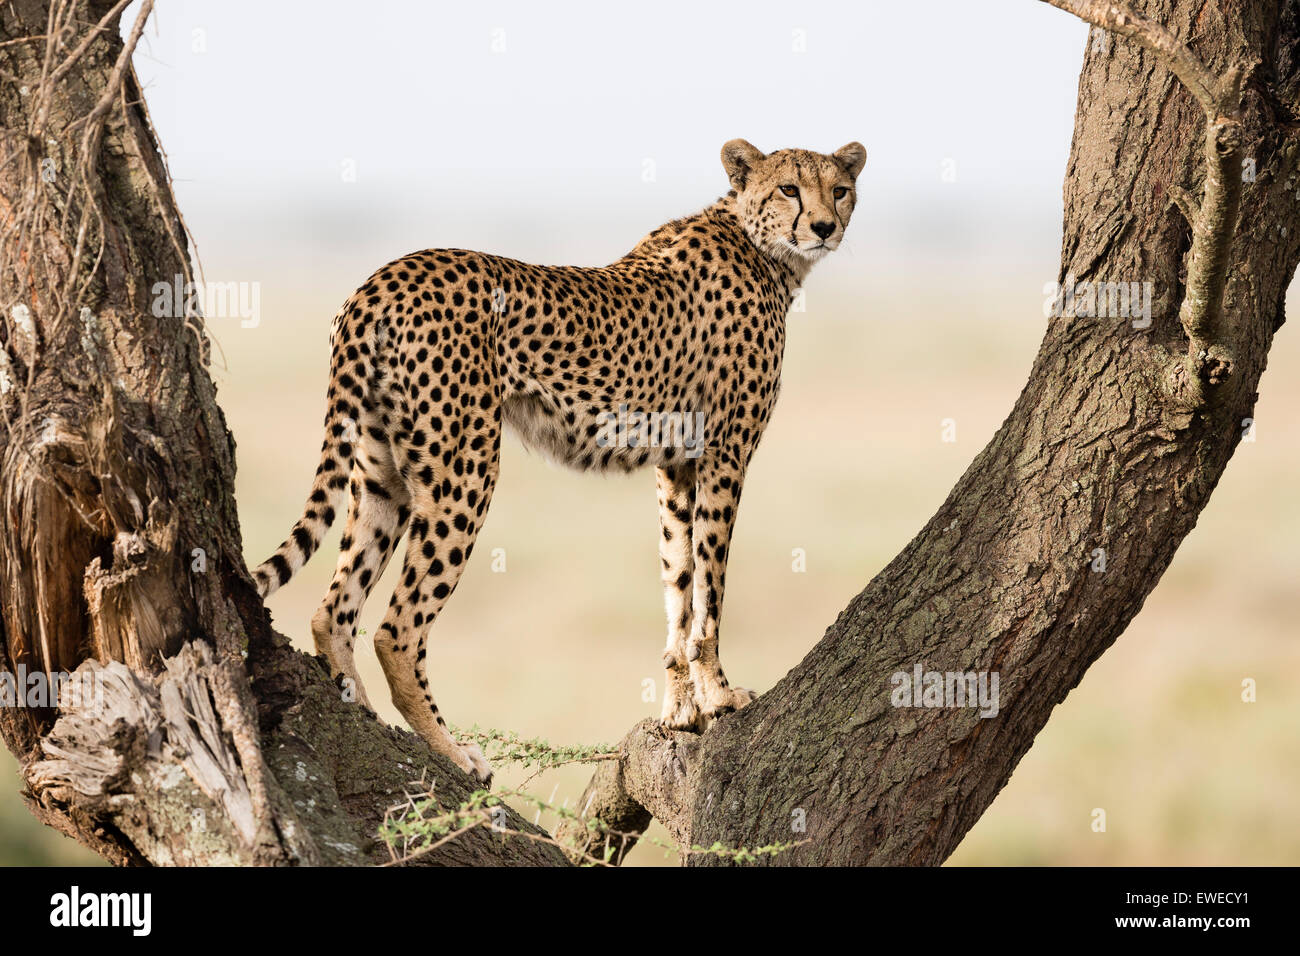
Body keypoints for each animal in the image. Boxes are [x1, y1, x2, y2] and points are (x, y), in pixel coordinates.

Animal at [252, 141, 863, 785]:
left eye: (839, 189)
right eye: (789, 188)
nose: (825, 226)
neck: (763, 247)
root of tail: (381, 278)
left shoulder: (676, 465)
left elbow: (678, 580)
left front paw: (680, 710)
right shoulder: (725, 454)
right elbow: (711, 588)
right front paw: (720, 696)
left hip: (381, 473)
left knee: (333, 609)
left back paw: (365, 717)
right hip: (465, 469)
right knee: (397, 629)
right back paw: (454, 752)